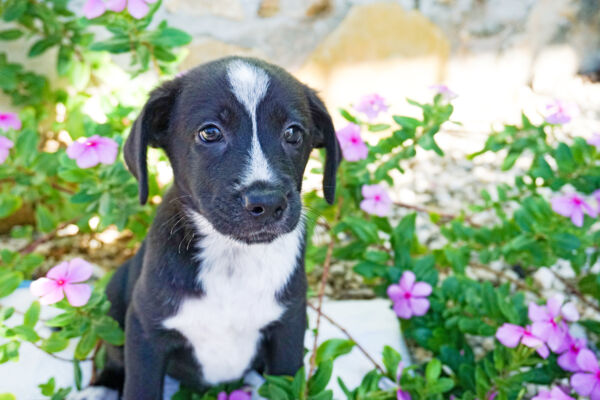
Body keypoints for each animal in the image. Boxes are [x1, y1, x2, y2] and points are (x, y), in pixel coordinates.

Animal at [84, 57, 340, 400]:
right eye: (210, 132)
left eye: (293, 133)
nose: (267, 202)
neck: (232, 256)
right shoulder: (145, 329)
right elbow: (140, 387)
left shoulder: (289, 325)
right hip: (114, 298)